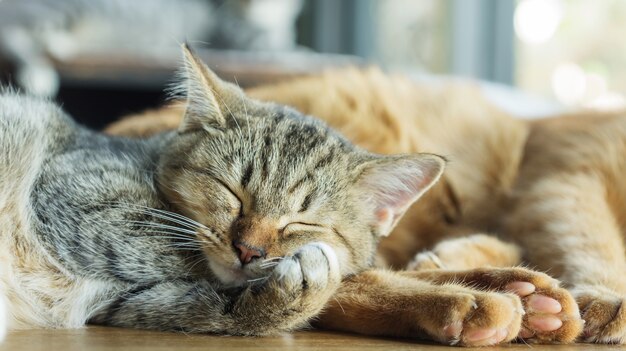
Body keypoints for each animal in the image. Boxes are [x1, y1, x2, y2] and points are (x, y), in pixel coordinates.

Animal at [0, 0, 302, 96]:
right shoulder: (237, 35)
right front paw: (299, 52)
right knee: (11, 31)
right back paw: (39, 72)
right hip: (62, 10)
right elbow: (279, 48)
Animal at [0, 44, 444, 338]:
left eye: (301, 222)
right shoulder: (82, 195)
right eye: (232, 191)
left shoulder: (125, 305)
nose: (248, 251)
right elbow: (180, 257)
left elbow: (219, 312)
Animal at [105, 67, 624, 346]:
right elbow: (589, 239)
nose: (248, 251)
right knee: (346, 283)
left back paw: (520, 290)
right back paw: (486, 299)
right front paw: (607, 295)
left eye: (301, 220)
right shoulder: (563, 178)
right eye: (232, 194)